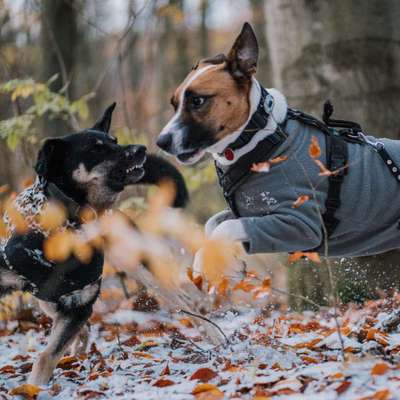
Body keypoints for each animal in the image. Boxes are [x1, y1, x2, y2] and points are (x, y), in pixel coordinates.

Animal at [0, 104, 188, 386]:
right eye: (96, 149)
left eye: (115, 141)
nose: (141, 149)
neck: (71, 219)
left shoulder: (78, 307)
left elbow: (47, 355)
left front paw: (34, 387)